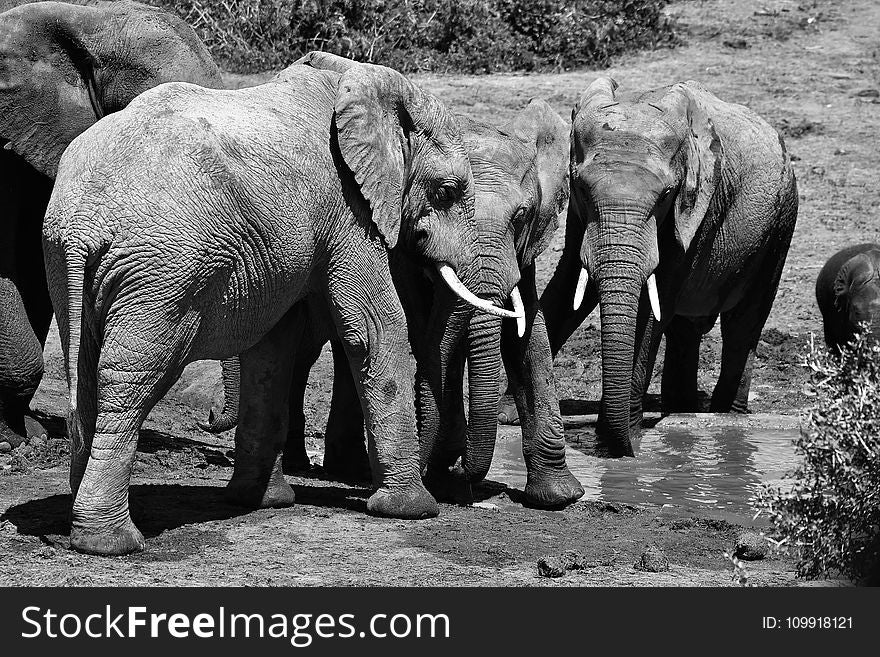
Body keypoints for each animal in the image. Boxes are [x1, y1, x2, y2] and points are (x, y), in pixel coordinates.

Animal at [41, 59, 524, 556]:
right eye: (446, 192)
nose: (457, 483)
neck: (357, 79)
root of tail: (82, 225)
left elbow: (272, 350)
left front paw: (263, 501)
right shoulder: (347, 206)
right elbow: (374, 328)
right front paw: (412, 510)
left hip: (65, 261)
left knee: (86, 367)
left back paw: (80, 519)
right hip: (163, 269)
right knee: (133, 375)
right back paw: (109, 541)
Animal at [532, 75, 800, 456]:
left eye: (666, 194)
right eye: (581, 188)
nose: (625, 450)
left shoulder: (699, 207)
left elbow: (652, 308)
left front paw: (619, 444)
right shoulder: (578, 216)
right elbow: (568, 284)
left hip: (780, 226)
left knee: (743, 323)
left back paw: (726, 417)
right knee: (686, 328)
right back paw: (681, 409)